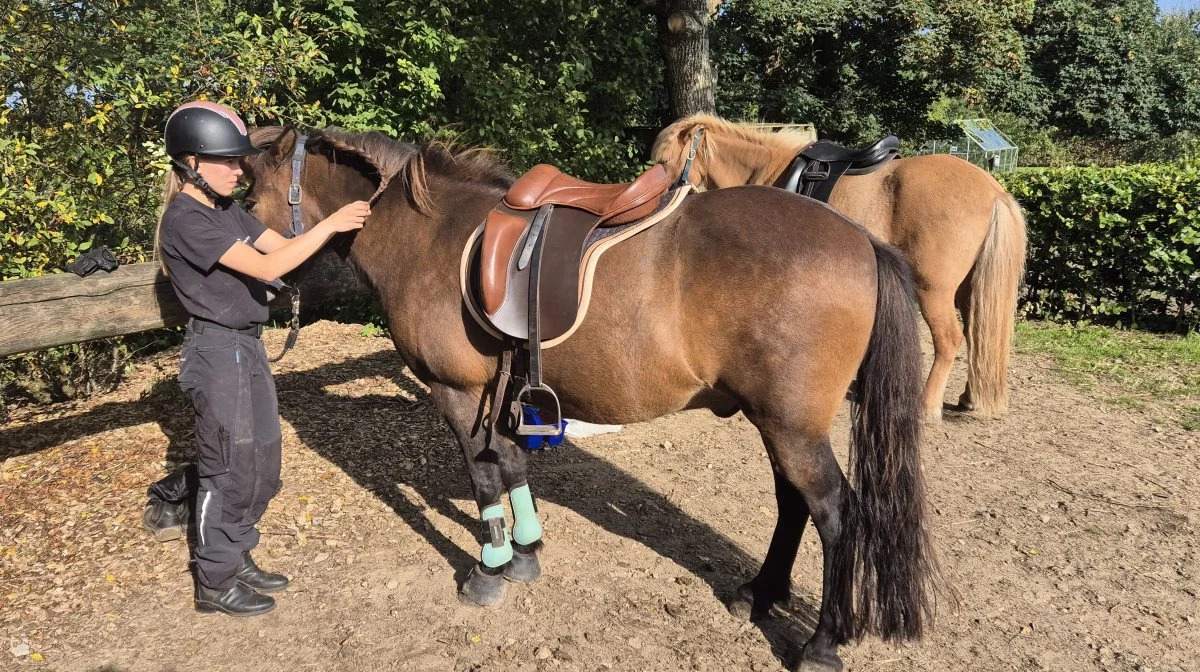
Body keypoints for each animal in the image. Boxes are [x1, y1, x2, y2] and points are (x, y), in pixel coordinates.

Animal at [241, 127, 936, 672]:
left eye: (249, 193)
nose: (251, 279)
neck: (430, 235)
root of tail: (861, 241)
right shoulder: (505, 392)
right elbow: (510, 463)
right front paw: (526, 552)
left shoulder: (457, 393)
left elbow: (482, 476)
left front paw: (490, 568)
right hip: (779, 422)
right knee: (793, 504)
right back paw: (757, 595)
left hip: (793, 426)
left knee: (835, 514)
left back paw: (821, 644)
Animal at [652, 115, 1027, 420]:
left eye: (664, 161)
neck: (768, 170)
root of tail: (995, 192)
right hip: (969, 289)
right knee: (978, 335)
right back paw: (969, 398)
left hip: (933, 289)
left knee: (950, 340)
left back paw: (927, 407)